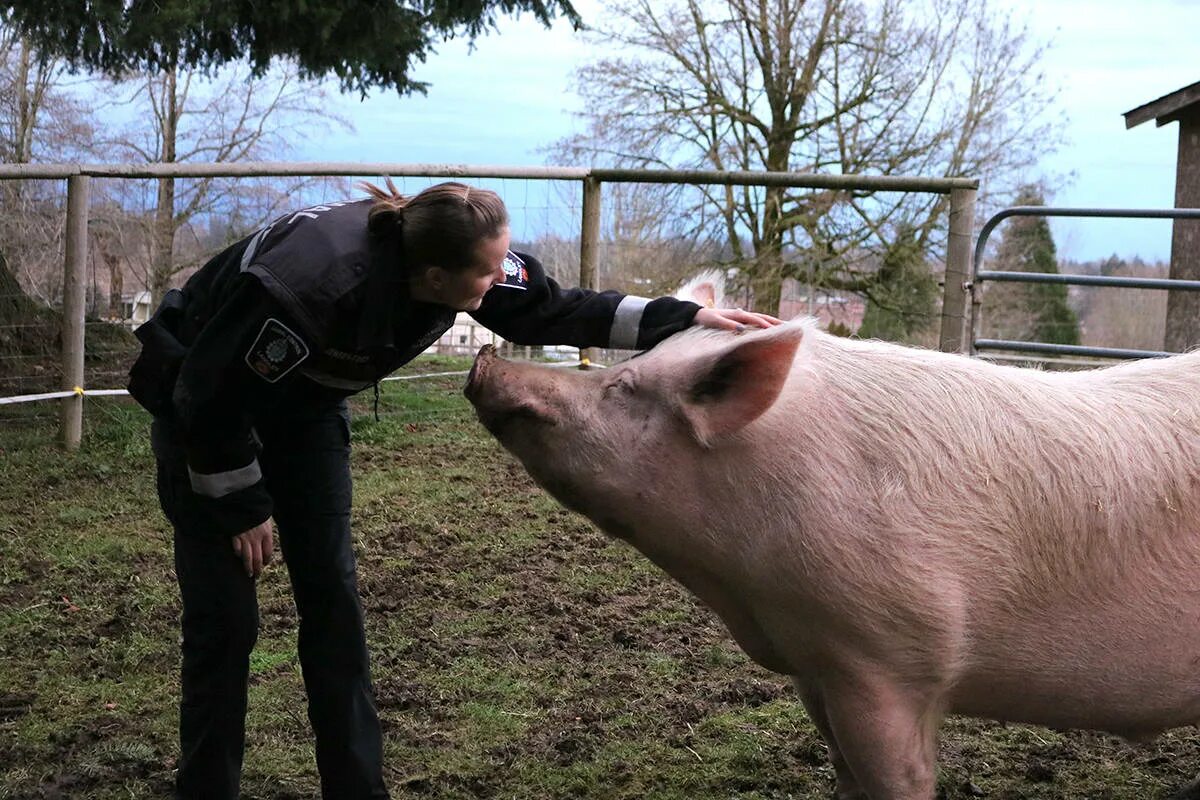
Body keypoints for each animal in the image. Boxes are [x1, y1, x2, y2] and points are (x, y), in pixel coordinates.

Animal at [463, 319, 1200, 800]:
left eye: (626, 386)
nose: (487, 360)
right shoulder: (813, 663)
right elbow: (842, 771)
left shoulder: (888, 658)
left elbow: (897, 780)